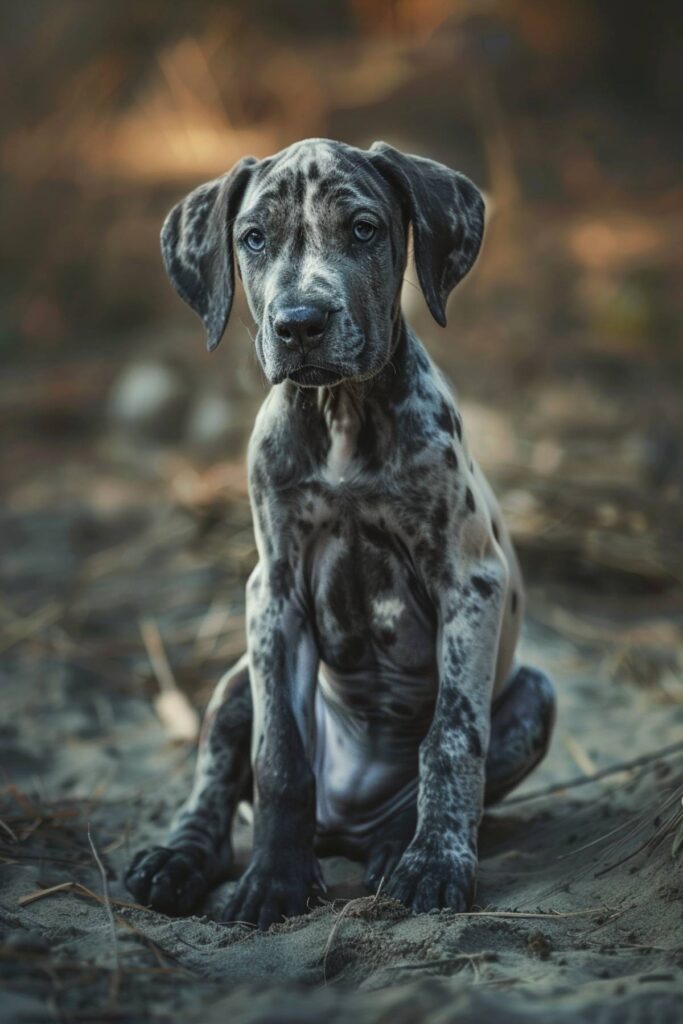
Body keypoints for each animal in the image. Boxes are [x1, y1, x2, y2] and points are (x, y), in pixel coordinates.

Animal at [126, 136, 557, 929]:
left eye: (363, 229)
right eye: (253, 238)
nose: (300, 323)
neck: (343, 415)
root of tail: (344, 827)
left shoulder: (470, 585)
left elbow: (451, 739)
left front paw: (436, 864)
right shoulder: (273, 596)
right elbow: (279, 760)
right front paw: (274, 878)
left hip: (532, 694)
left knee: (431, 783)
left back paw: (394, 848)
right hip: (236, 679)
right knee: (217, 783)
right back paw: (178, 860)